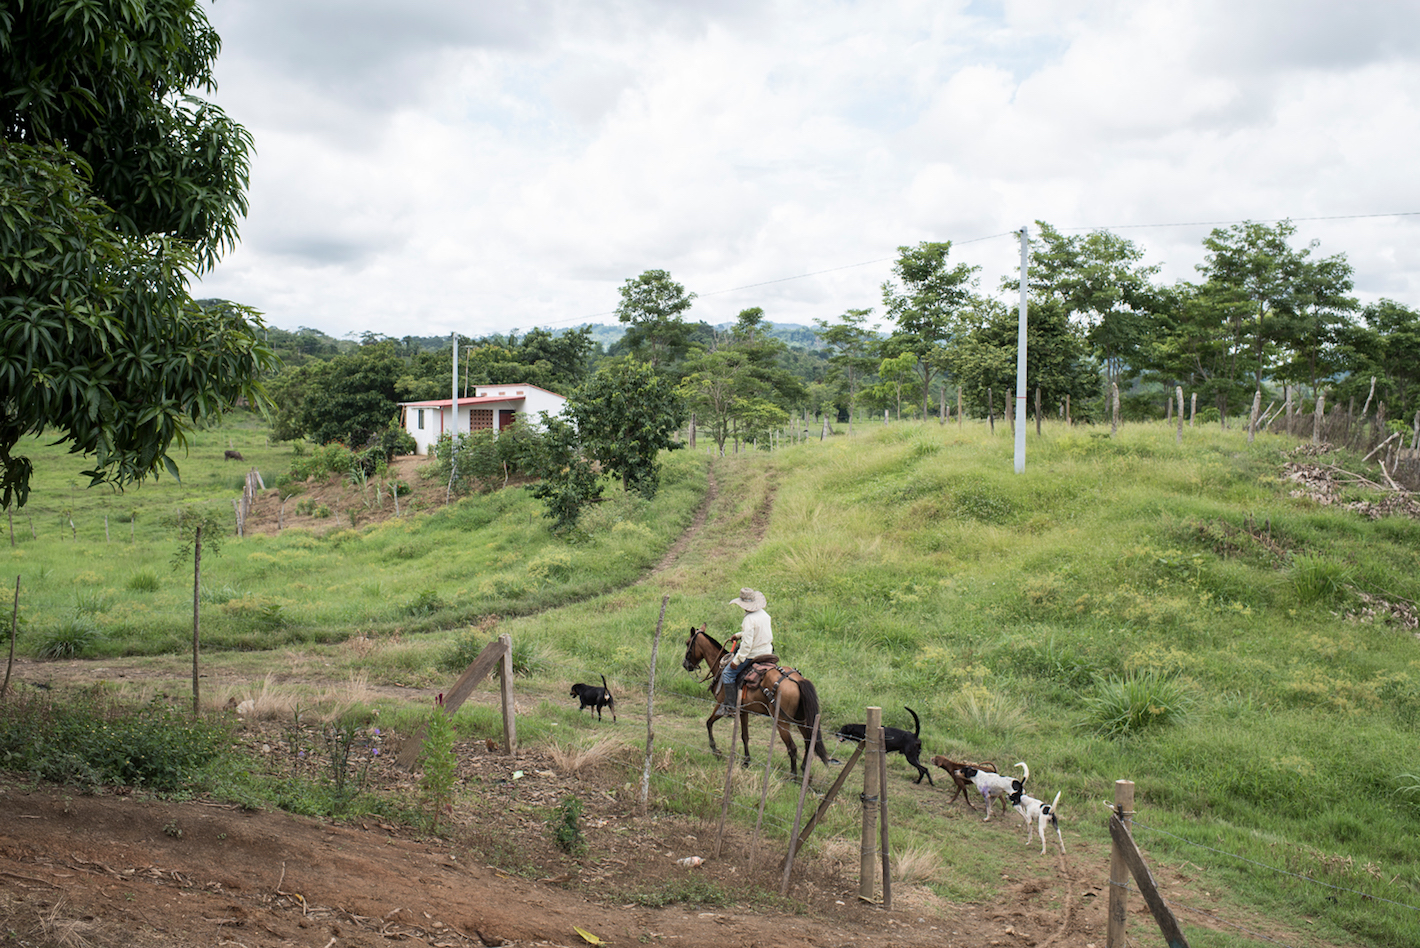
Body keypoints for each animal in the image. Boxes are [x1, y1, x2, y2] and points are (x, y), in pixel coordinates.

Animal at [678, 624, 829, 772]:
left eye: (687, 643)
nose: (685, 664)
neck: (721, 669)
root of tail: (797, 680)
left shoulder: (721, 704)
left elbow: (709, 723)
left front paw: (716, 750)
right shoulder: (744, 711)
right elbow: (745, 736)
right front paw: (746, 761)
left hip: (782, 722)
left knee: (792, 747)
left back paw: (794, 775)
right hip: (801, 719)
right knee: (808, 741)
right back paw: (804, 769)